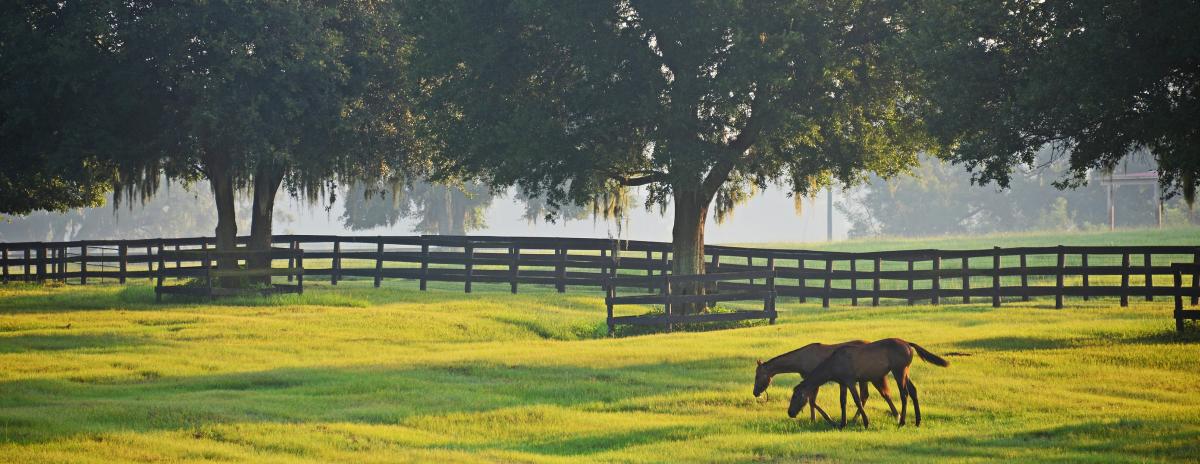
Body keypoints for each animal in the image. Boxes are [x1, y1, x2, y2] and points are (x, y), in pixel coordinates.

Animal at [753, 340, 897, 424]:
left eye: (757, 376)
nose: (755, 392)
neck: (800, 361)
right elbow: (811, 401)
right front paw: (813, 419)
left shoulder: (814, 381)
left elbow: (811, 401)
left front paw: (825, 418)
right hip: (865, 379)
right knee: (866, 395)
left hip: (871, 378)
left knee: (875, 395)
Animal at [787, 338, 945, 429]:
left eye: (795, 397)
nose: (790, 412)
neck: (833, 363)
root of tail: (908, 344)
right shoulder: (843, 383)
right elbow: (842, 401)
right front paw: (842, 423)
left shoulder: (851, 381)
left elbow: (857, 400)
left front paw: (865, 422)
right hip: (906, 371)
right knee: (913, 391)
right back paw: (918, 421)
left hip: (899, 371)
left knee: (904, 394)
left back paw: (902, 422)